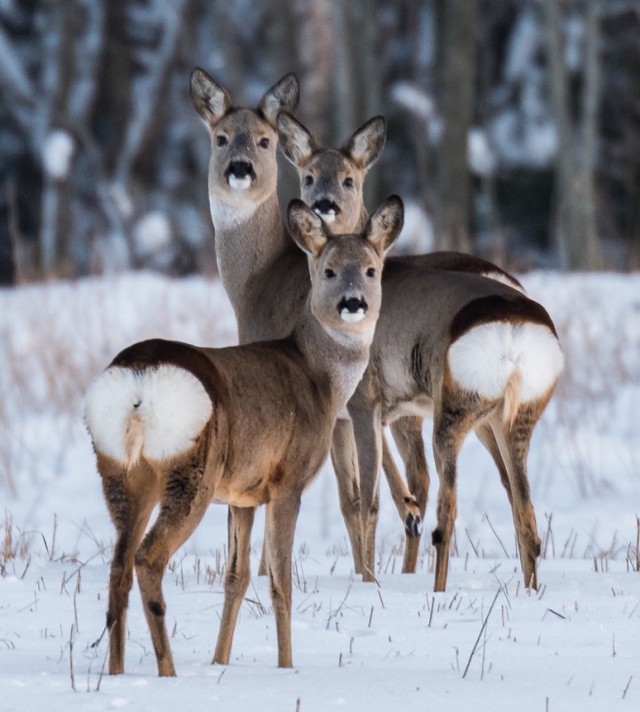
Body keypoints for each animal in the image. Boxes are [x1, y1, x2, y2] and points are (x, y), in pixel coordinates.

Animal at [85, 197, 402, 676]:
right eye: (328, 271)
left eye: (370, 269)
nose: (353, 303)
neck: (320, 378)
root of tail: (138, 383)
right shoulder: (288, 480)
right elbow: (280, 581)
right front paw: (286, 666)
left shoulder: (243, 492)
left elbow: (236, 576)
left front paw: (220, 661)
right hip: (191, 470)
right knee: (147, 558)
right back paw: (167, 671)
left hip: (120, 471)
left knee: (118, 565)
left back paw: (118, 672)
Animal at [188, 69, 564, 592]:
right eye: (220, 138)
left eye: (263, 141)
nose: (239, 168)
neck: (263, 281)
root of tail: (516, 324)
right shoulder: (354, 410)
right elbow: (354, 497)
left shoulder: (349, 401)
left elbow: (356, 499)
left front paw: (351, 578)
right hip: (508, 413)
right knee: (518, 503)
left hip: (449, 407)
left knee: (445, 502)